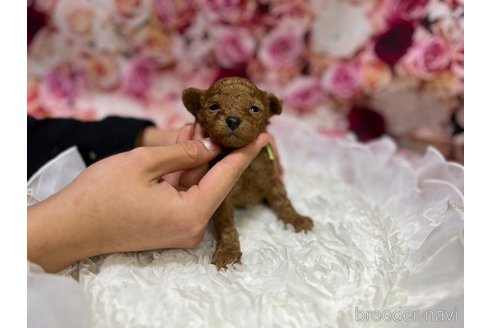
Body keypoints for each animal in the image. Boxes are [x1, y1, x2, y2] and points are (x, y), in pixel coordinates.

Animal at [183, 77, 314, 270]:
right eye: (213, 107)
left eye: (254, 109)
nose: (233, 120)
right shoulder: (223, 197)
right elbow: (226, 225)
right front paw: (228, 254)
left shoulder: (271, 177)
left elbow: (282, 201)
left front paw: (296, 219)